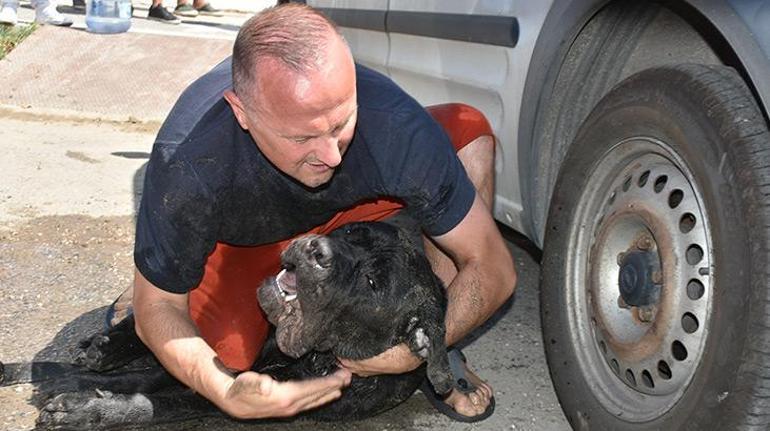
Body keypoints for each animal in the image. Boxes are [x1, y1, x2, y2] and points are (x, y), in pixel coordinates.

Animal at [1, 221, 462, 430]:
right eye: (351, 231)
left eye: (373, 282)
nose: (315, 248)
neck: (310, 358)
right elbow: (121, 377)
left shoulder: (232, 394)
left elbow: (152, 402)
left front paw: (86, 408)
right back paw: (108, 342)